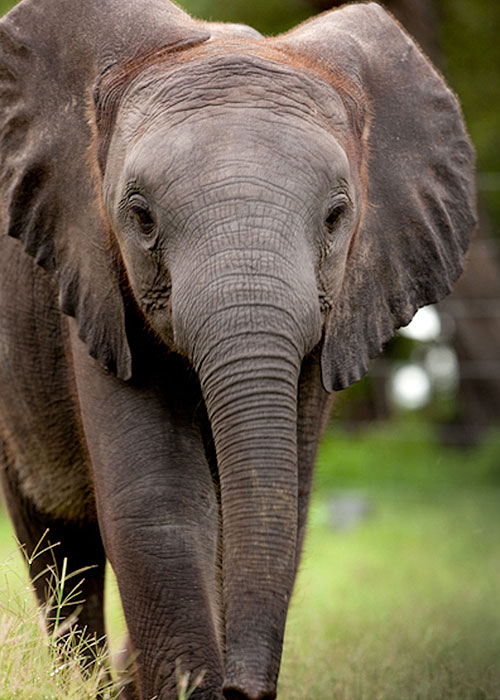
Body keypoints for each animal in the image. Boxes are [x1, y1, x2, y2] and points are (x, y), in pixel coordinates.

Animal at [0, 1, 476, 700]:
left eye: (336, 217)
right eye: (141, 218)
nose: (241, 689)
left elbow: (280, 499)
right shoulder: (91, 267)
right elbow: (159, 500)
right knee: (59, 548)